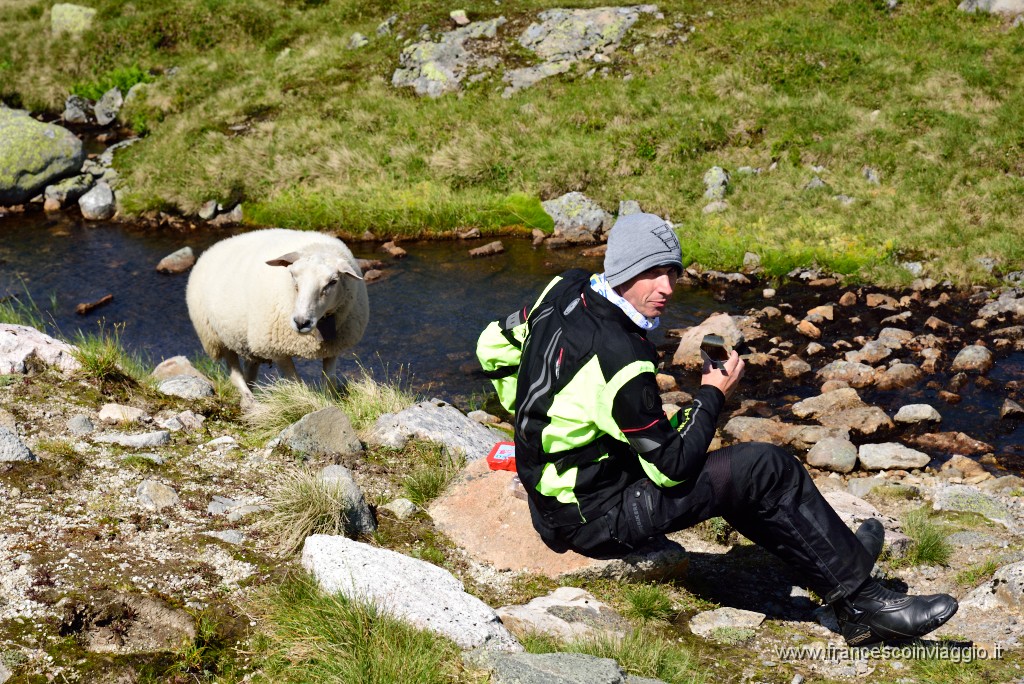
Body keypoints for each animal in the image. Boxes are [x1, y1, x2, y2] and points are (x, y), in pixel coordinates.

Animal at [186, 227, 370, 403]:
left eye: (332, 282)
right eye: (292, 275)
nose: (301, 322)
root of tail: (214, 247)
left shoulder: (333, 348)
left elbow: (329, 381)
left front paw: (329, 402)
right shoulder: (276, 349)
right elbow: (295, 381)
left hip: (248, 339)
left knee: (250, 369)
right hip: (217, 336)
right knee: (235, 373)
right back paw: (250, 401)